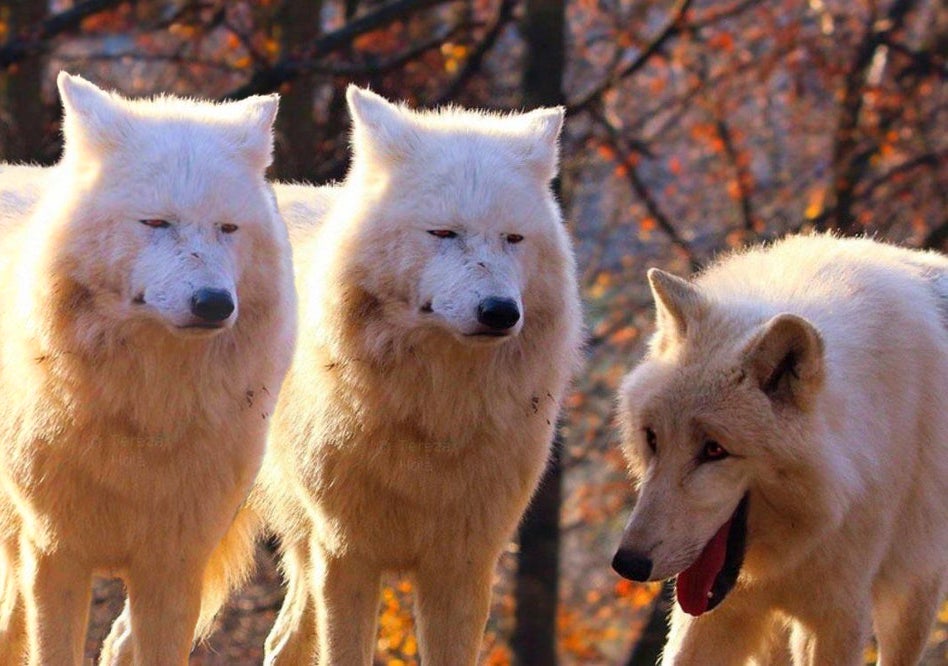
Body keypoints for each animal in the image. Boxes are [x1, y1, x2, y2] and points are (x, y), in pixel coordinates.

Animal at [0, 74, 296, 665]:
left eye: (228, 228)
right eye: (156, 223)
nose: (214, 304)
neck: (146, 412)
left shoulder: (174, 567)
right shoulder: (55, 557)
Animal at [612, 234, 948, 665]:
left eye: (714, 450)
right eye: (653, 438)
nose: (628, 563)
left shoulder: (838, 617)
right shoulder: (715, 612)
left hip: (911, 601)